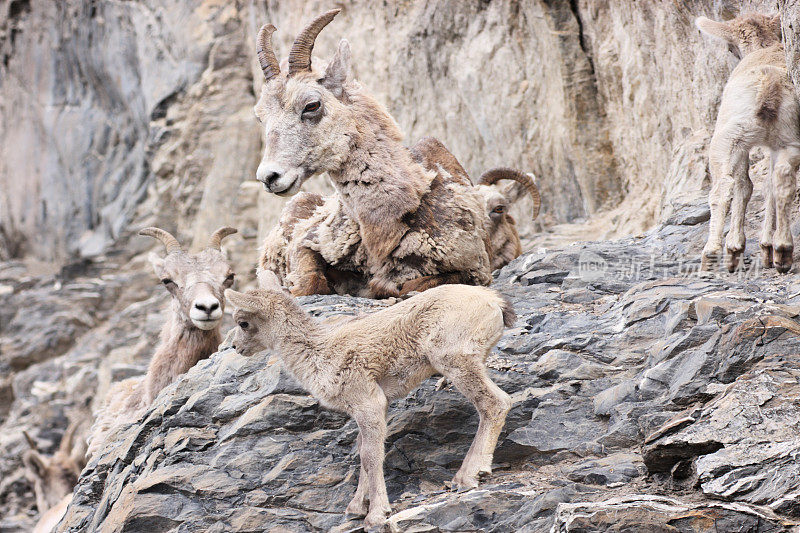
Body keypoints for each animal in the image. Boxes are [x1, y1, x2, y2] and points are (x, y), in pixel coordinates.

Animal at [225, 270, 512, 528]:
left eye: (243, 322)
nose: (236, 348)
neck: (319, 354)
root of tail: (493, 302)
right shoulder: (370, 408)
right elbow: (362, 451)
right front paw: (355, 508)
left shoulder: (368, 403)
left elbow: (371, 455)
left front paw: (375, 515)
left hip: (455, 360)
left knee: (496, 403)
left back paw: (468, 476)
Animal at [696, 14, 796, 272]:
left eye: (730, 48)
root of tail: (770, 85)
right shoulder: (774, 146)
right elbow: (767, 185)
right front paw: (766, 248)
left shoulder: (740, 147)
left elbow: (744, 185)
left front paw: (735, 249)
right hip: (789, 138)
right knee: (783, 180)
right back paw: (782, 251)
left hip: (729, 137)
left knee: (723, 187)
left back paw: (711, 255)